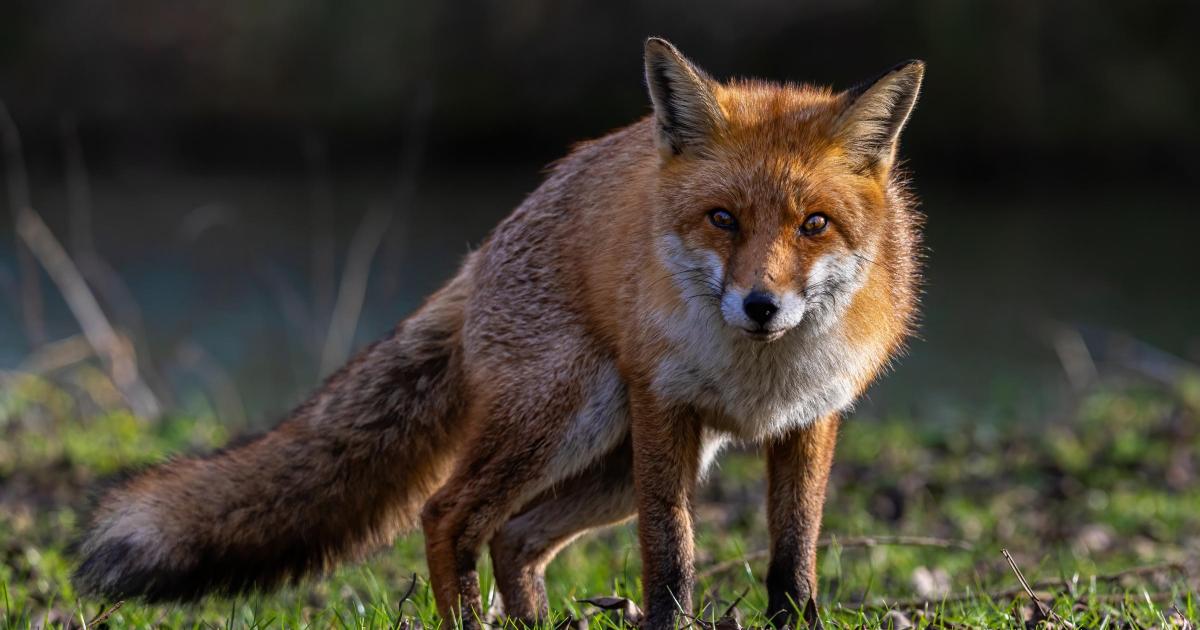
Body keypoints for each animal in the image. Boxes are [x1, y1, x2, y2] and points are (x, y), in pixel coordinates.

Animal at [75, 38, 924, 629]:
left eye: (814, 225)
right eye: (723, 219)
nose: (761, 306)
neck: (759, 375)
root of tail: (483, 250)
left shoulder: (811, 419)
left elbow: (794, 558)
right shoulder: (664, 407)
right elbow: (671, 556)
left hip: (616, 460)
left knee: (515, 536)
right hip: (573, 420)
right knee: (450, 515)